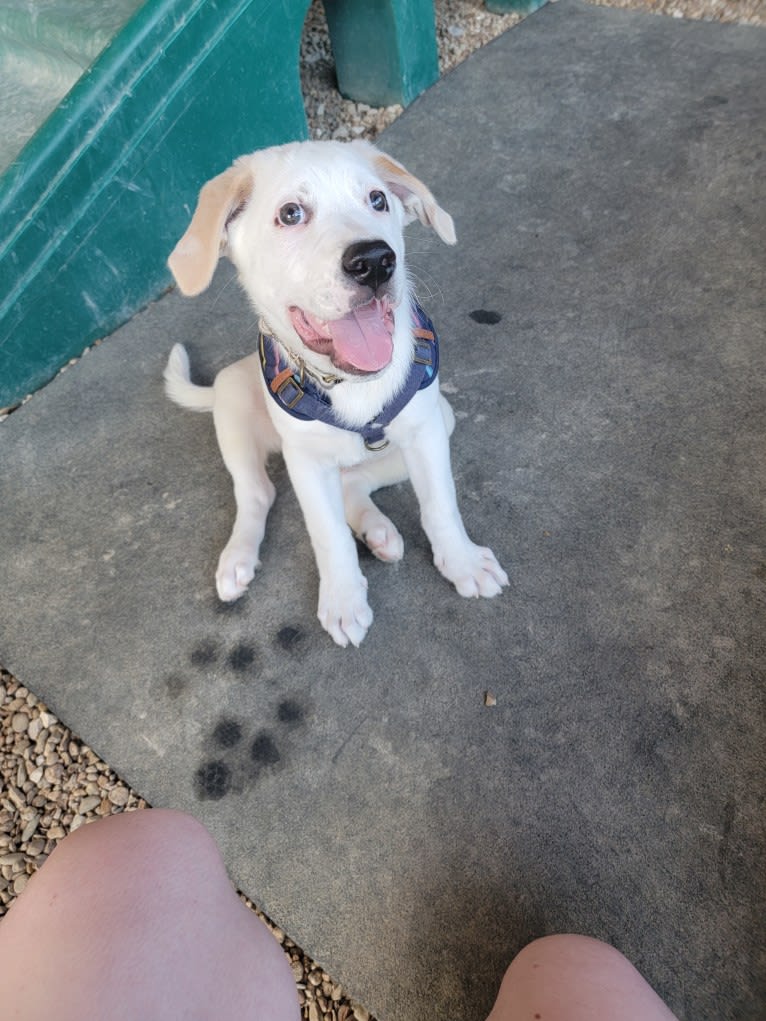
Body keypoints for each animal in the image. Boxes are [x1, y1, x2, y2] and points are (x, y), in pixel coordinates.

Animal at [165, 139, 506, 645]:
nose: (376, 261)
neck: (349, 384)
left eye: (378, 200)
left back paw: (377, 530)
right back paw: (238, 560)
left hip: (438, 421)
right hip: (233, 399)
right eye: (290, 214)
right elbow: (328, 535)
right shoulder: (306, 462)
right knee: (258, 492)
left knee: (353, 480)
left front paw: (461, 562)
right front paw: (343, 600)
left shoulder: (425, 430)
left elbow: (440, 505)